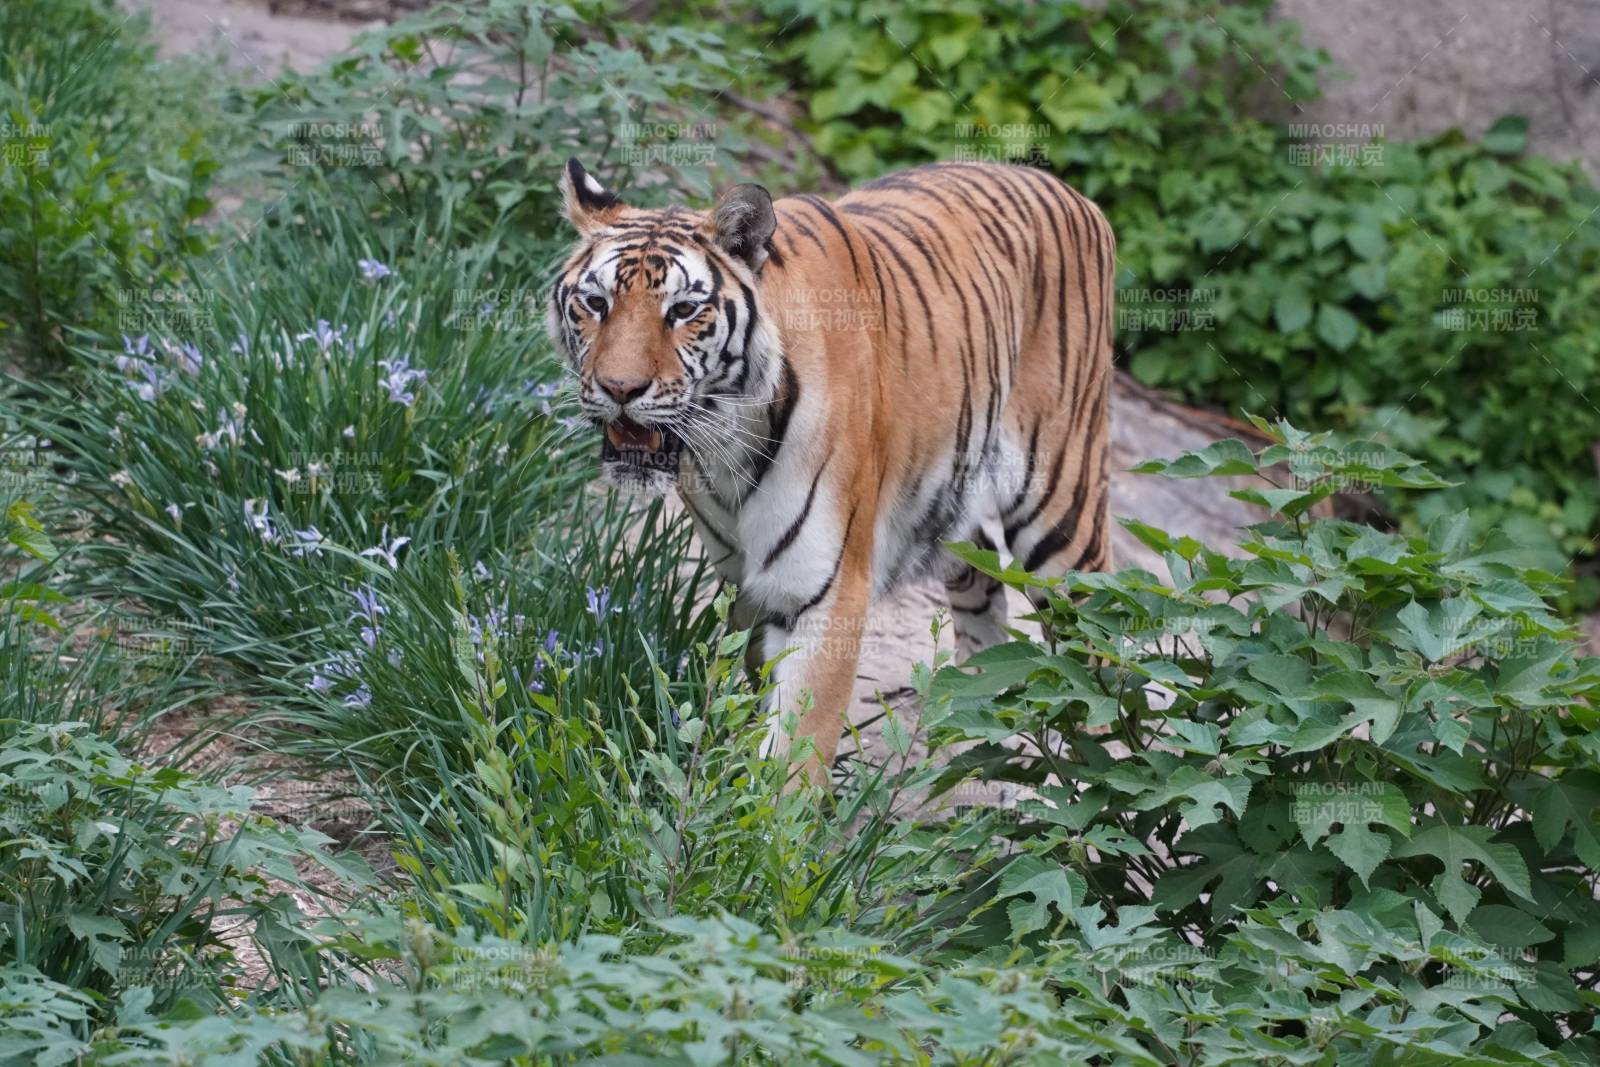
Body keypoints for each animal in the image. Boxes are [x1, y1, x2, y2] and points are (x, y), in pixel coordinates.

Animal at [548, 157, 1115, 786]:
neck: (725, 449)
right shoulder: (751, 588)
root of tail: (1067, 189)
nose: (619, 389)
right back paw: (976, 726)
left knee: (1099, 636)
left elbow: (792, 761)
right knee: (982, 584)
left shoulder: (828, 590)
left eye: (683, 311)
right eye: (596, 303)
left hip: (1060, 510)